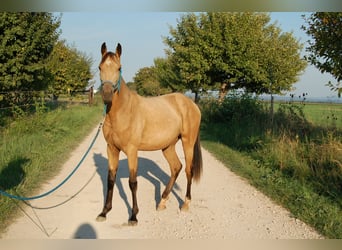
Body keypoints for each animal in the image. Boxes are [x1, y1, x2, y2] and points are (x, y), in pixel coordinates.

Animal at [96, 42, 203, 225]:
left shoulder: (132, 151)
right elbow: (110, 180)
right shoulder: (112, 149)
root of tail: (190, 103)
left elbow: (133, 182)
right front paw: (104, 212)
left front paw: (133, 216)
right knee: (176, 167)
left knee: (189, 170)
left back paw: (185, 204)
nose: (107, 94)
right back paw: (162, 202)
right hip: (168, 146)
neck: (124, 112)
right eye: (99, 67)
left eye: (119, 68)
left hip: (187, 142)